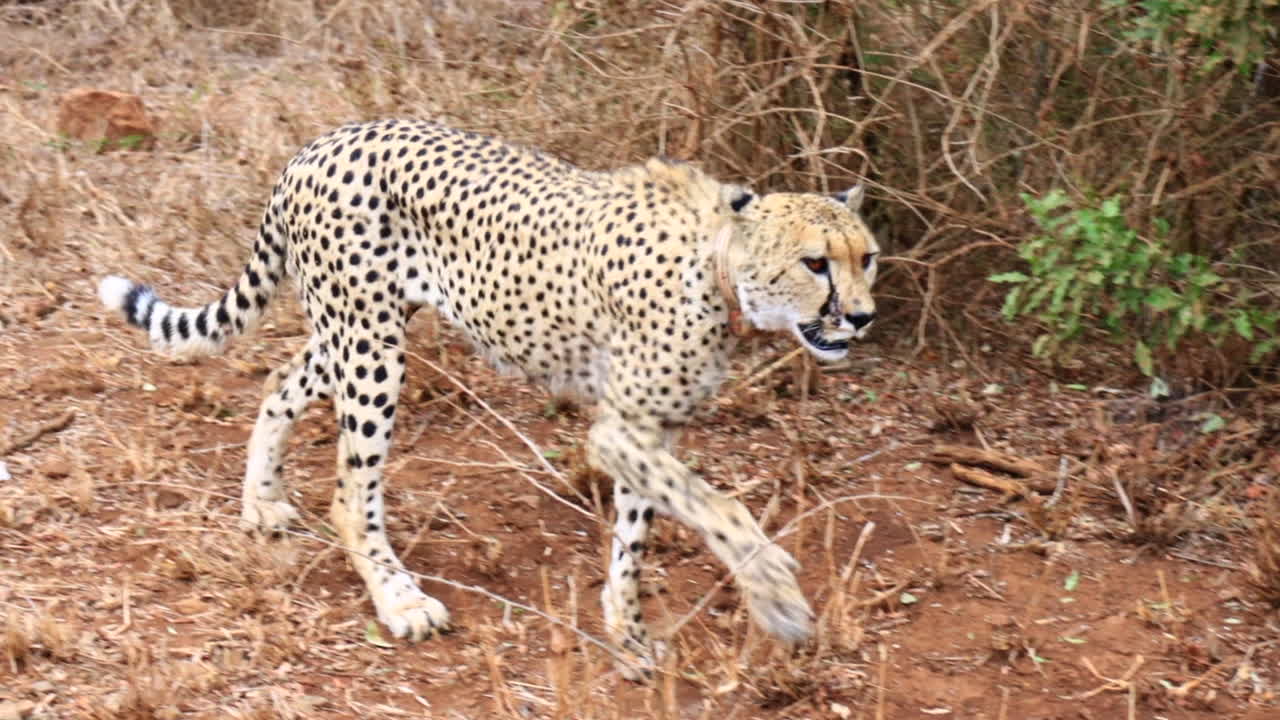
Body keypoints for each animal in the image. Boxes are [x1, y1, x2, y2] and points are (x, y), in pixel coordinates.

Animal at [97, 118, 880, 678]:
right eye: (815, 262)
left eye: (866, 257)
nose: (862, 316)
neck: (717, 268)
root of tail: (321, 142)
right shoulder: (619, 430)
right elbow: (720, 507)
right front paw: (776, 595)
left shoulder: (648, 429)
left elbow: (636, 536)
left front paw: (625, 635)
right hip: (371, 347)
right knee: (351, 494)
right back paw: (400, 600)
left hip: (354, 331)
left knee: (279, 379)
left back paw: (261, 500)